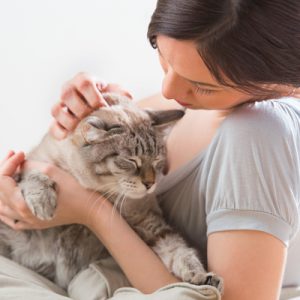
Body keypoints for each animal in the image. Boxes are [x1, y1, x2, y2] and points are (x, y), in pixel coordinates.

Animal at [0, 92, 223, 292]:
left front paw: (200, 276)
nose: (150, 184)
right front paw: (44, 202)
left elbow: (179, 250)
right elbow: (34, 174)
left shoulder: (149, 223)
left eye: (157, 160)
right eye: (131, 161)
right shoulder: (27, 164)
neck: (103, 192)